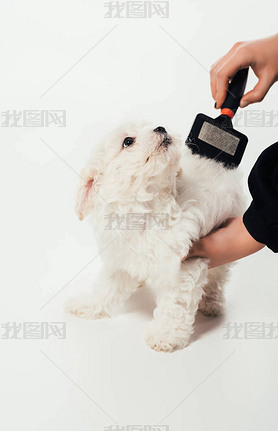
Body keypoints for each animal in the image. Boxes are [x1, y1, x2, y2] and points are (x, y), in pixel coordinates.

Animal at [64, 121, 243, 352]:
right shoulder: (119, 257)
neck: (146, 210)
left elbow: (174, 306)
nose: (161, 128)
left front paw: (164, 335)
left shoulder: (186, 264)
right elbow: (106, 288)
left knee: (216, 278)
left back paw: (211, 303)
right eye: (127, 141)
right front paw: (87, 305)